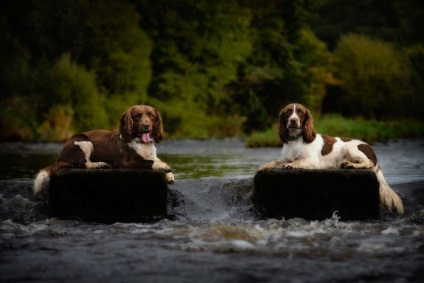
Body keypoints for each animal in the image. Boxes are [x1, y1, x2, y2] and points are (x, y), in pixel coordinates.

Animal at [32, 105, 176, 196]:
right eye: (137, 116)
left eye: (151, 115)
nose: (146, 126)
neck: (141, 142)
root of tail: (61, 157)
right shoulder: (128, 162)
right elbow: (151, 162)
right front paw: (164, 167)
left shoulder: (150, 154)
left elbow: (156, 159)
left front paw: (169, 174)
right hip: (83, 140)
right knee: (84, 163)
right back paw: (98, 164)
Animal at [258, 103, 404, 214]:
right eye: (288, 112)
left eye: (300, 112)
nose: (293, 121)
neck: (295, 140)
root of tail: (371, 149)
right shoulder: (285, 157)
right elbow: (275, 161)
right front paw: (263, 166)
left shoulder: (313, 161)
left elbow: (298, 161)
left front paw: (292, 165)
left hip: (350, 147)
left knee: (368, 163)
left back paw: (350, 164)